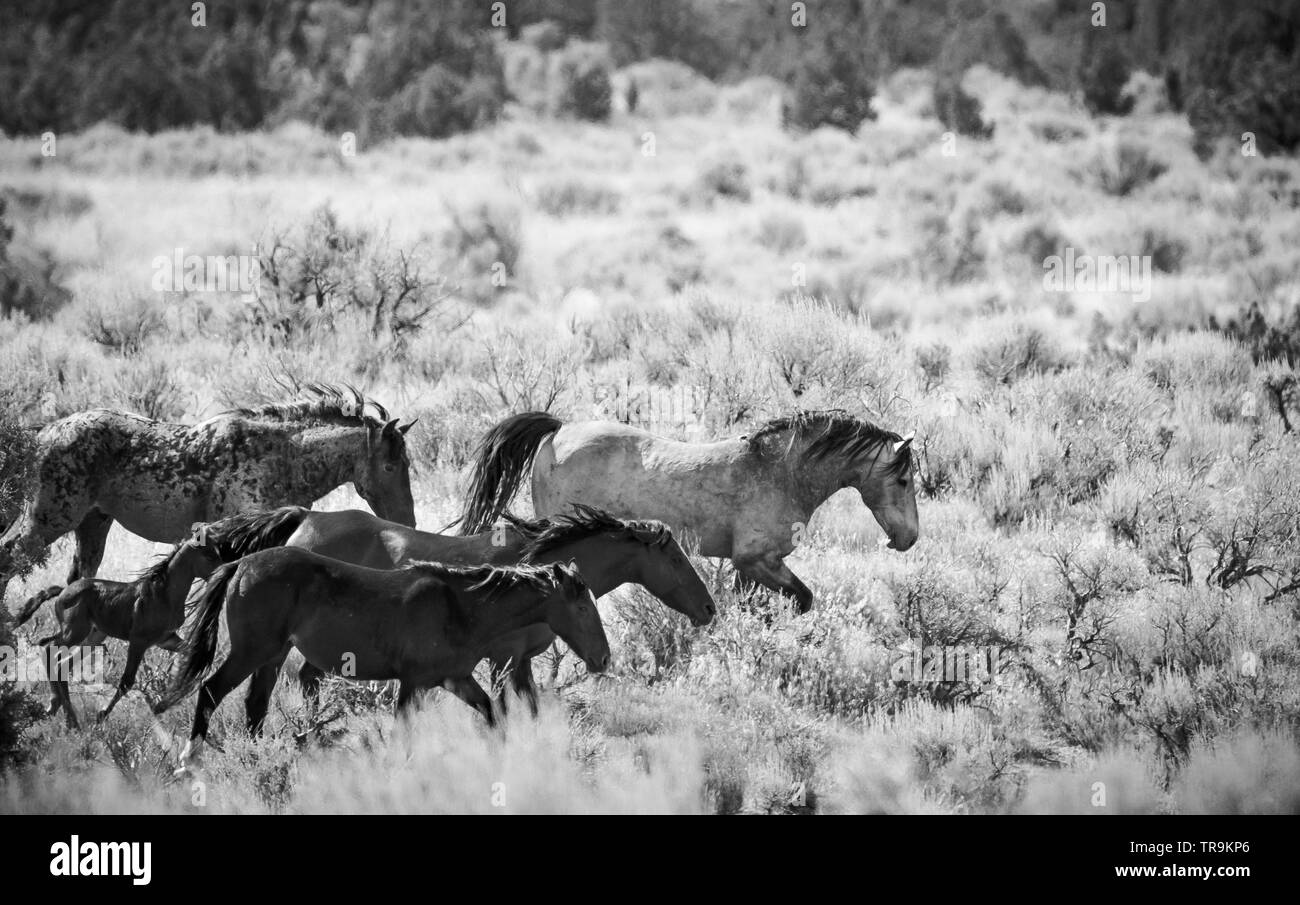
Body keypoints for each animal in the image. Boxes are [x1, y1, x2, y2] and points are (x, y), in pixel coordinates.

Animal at [0, 382, 416, 600]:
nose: (408, 521)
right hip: (47, 519)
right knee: (10, 556)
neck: (283, 455)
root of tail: (42, 434)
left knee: (77, 579)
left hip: (92, 524)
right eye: (390, 466)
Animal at [156, 548, 608, 764]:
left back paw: (257, 758)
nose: (603, 659)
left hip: (273, 653)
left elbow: (494, 717)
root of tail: (241, 563)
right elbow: (402, 736)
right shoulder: (412, 684)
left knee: (255, 704)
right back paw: (188, 762)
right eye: (583, 608)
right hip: (253, 650)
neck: (460, 607)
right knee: (211, 691)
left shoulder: (455, 680)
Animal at [452, 410, 920, 616]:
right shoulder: (757, 560)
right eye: (903, 479)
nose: (908, 538)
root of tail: (559, 429)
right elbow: (803, 600)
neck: (779, 472)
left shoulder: (750, 567)